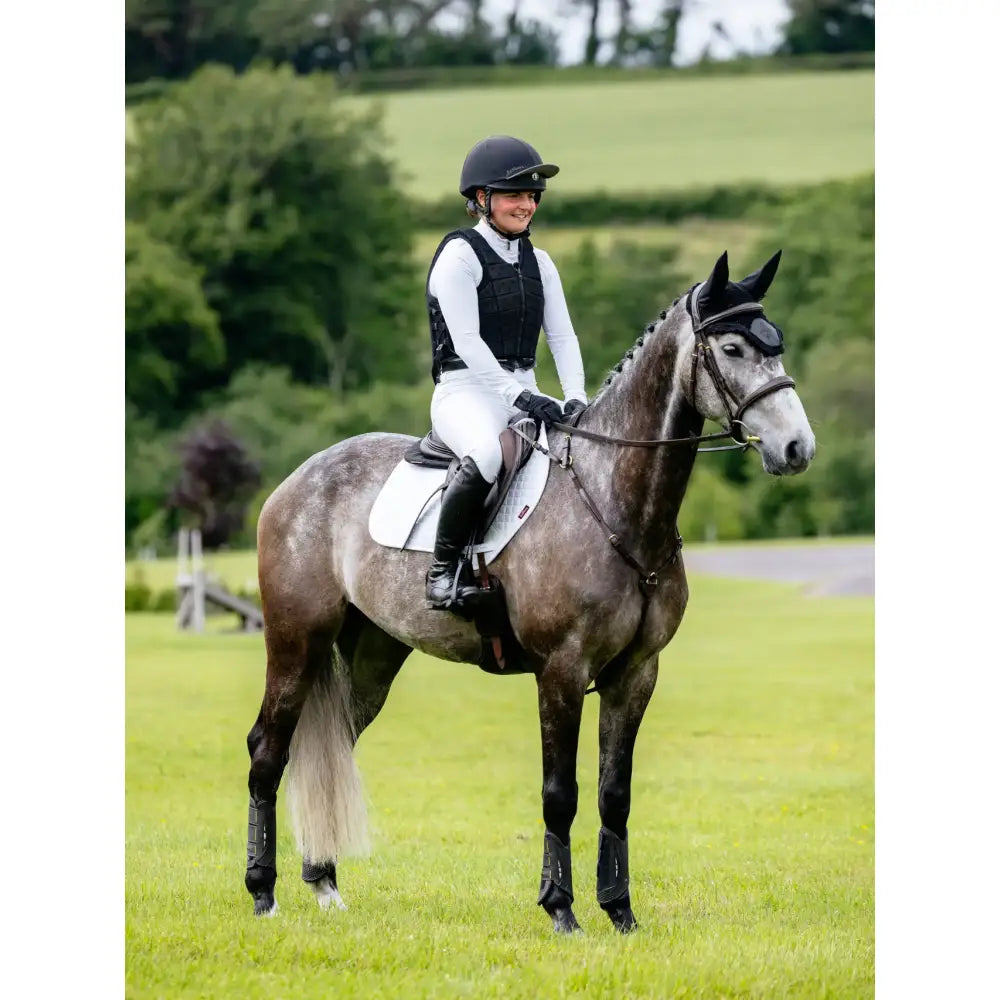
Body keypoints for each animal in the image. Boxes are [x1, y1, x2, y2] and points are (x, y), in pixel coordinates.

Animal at [244, 249, 816, 934]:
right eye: (731, 348)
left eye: (776, 344)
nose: (797, 449)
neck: (615, 500)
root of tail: (295, 481)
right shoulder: (562, 671)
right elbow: (559, 794)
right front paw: (561, 909)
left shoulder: (636, 674)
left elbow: (614, 795)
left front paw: (620, 912)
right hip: (296, 641)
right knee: (268, 749)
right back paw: (262, 893)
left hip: (371, 657)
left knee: (330, 744)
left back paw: (324, 881)